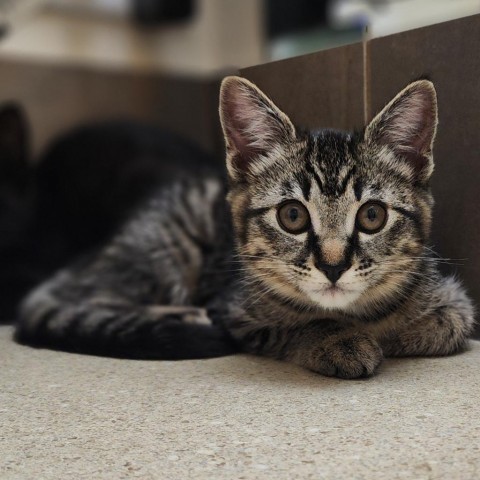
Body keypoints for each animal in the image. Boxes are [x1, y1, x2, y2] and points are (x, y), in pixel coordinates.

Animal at [15, 76, 476, 378]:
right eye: (292, 216)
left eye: (372, 216)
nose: (332, 266)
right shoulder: (234, 310)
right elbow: (296, 325)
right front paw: (338, 339)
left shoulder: (454, 300)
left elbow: (448, 324)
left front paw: (389, 333)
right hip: (167, 252)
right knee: (87, 298)